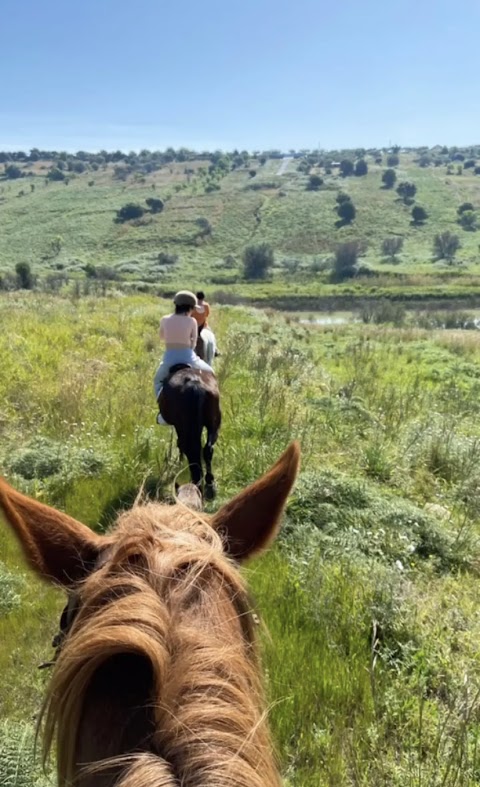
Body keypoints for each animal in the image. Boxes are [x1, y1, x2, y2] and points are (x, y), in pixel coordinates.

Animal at [159, 364, 223, 498]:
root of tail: (194, 384)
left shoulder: (179, 427)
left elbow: (180, 444)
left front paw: (179, 462)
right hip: (214, 424)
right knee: (207, 449)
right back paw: (209, 484)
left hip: (185, 425)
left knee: (190, 449)